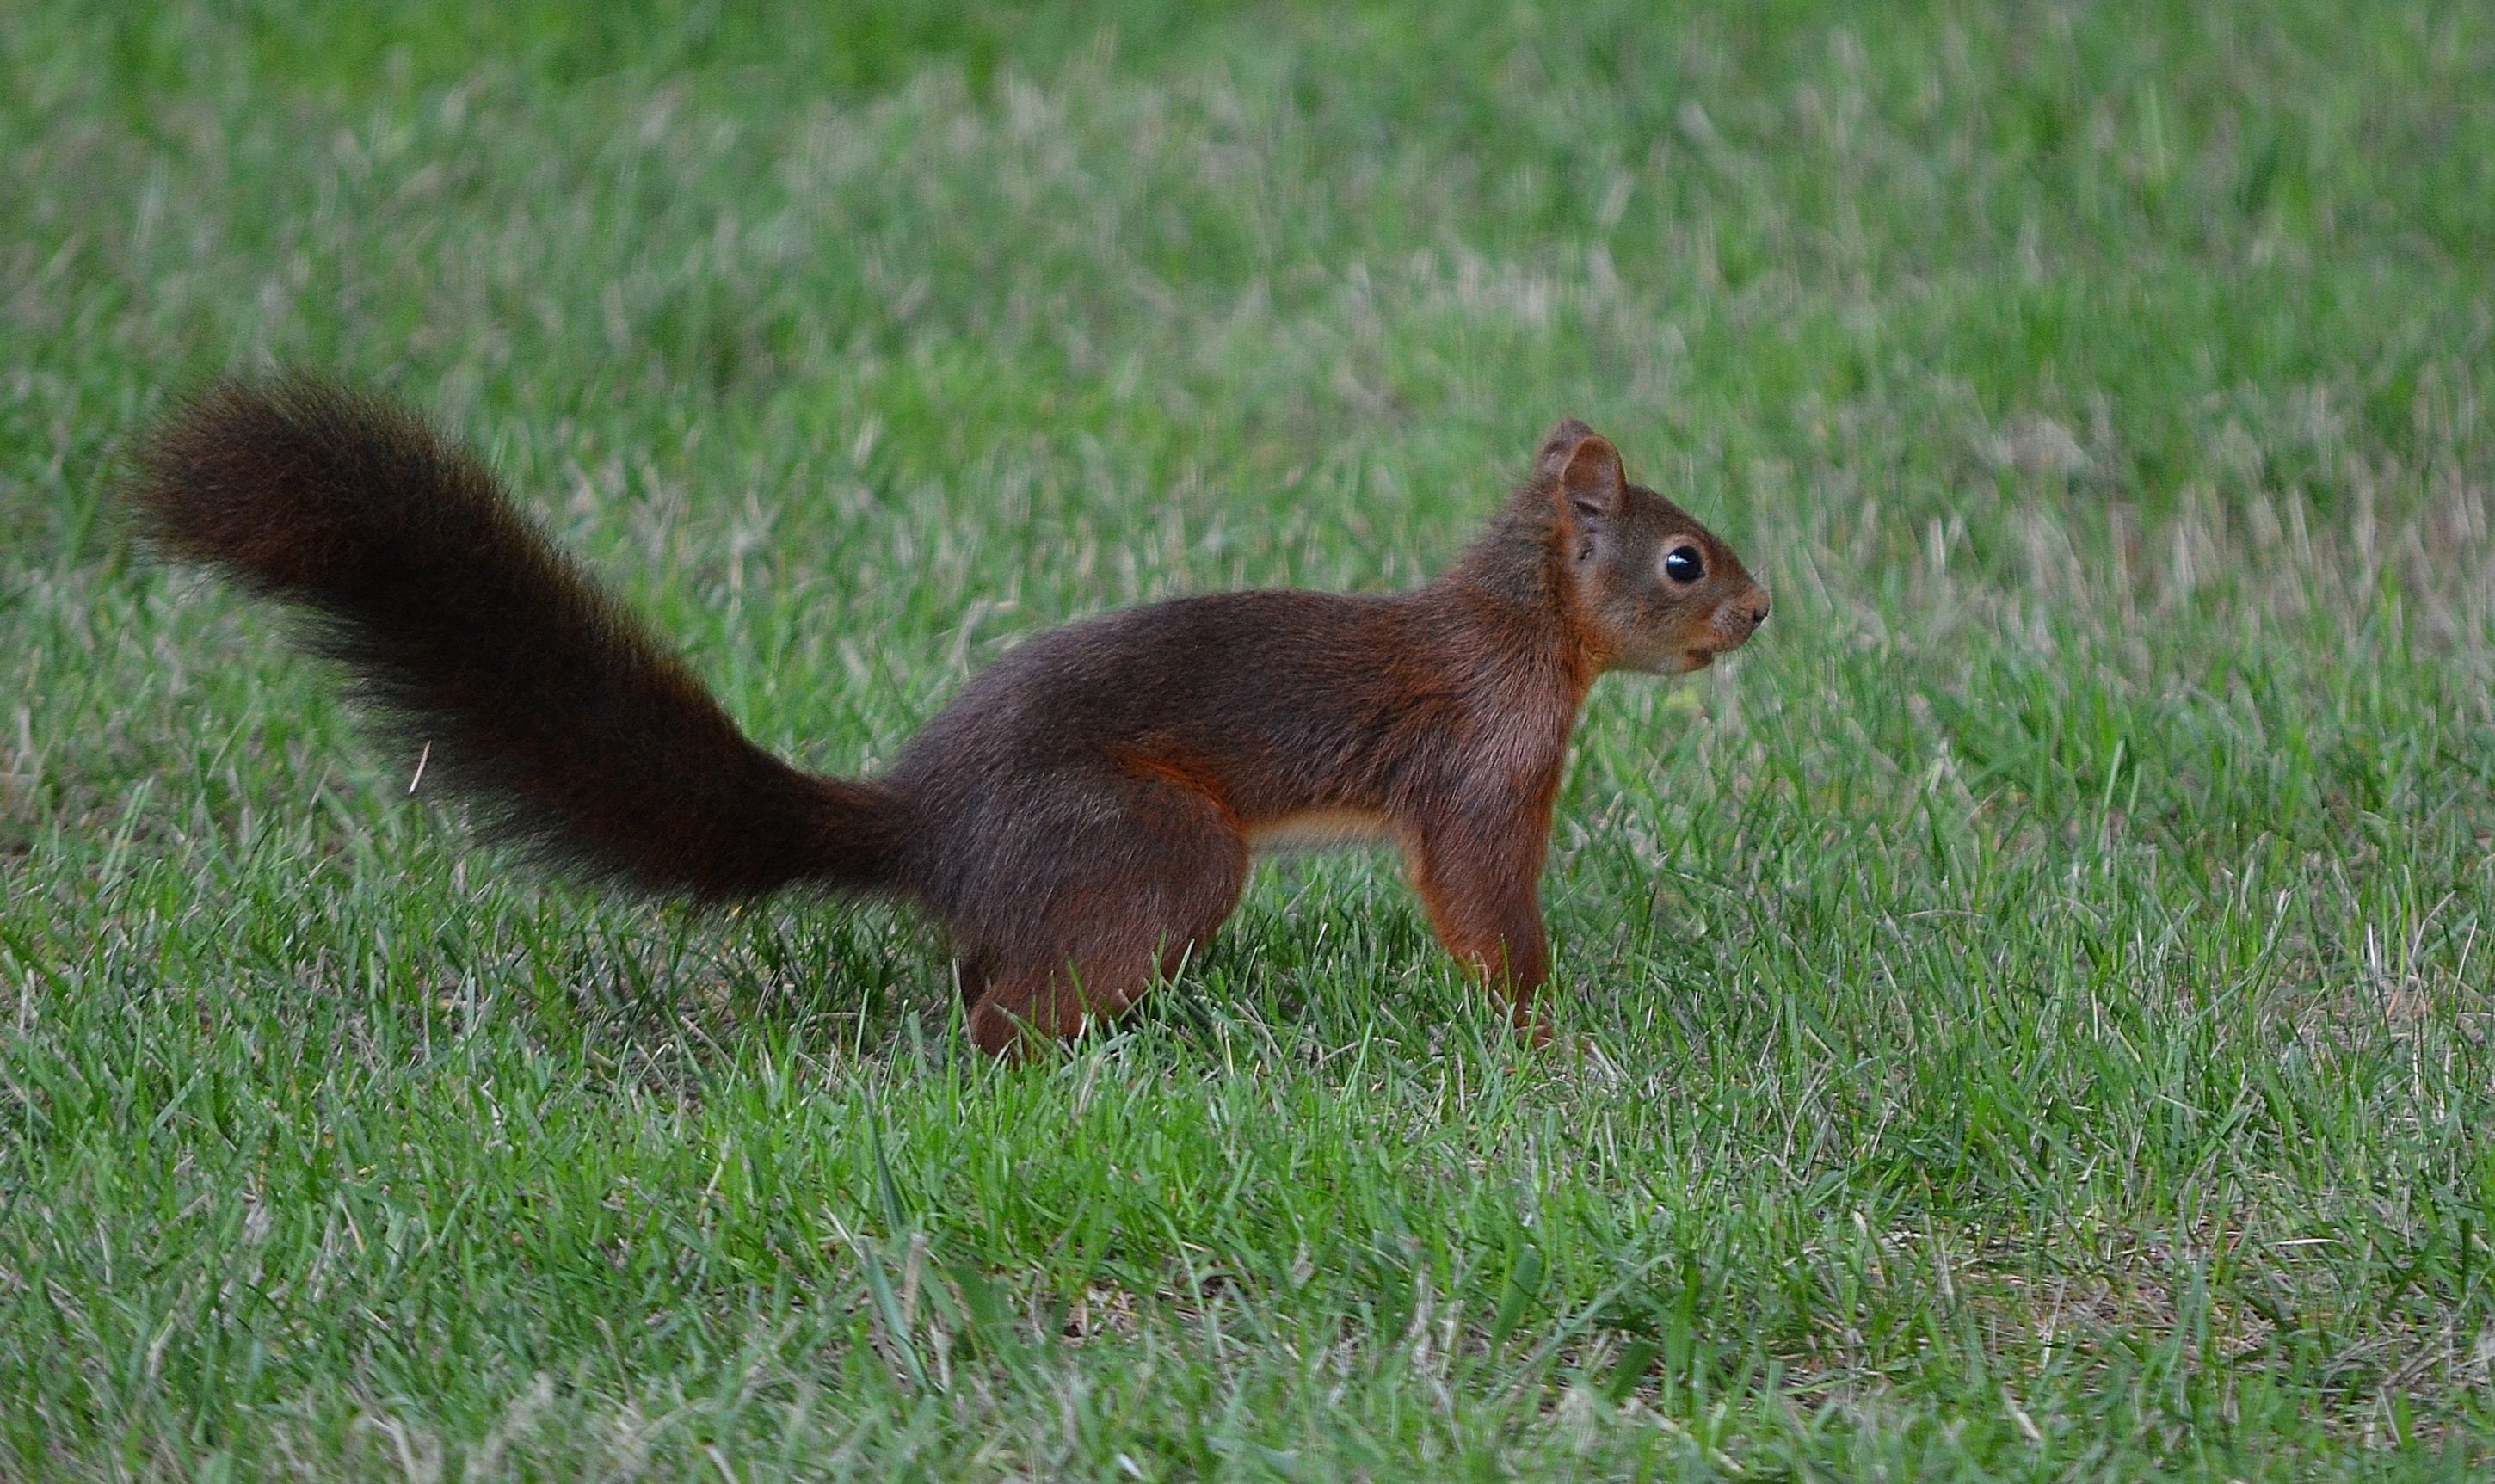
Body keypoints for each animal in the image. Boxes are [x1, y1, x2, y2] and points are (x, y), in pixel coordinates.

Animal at [131, 384, 1776, 1057]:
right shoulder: (1480, 772)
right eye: (1683, 560)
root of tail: (925, 824)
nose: (1762, 612)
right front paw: (1546, 1039)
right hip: (1159, 850)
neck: (1523, 632)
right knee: (1001, 1014)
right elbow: (1486, 911)